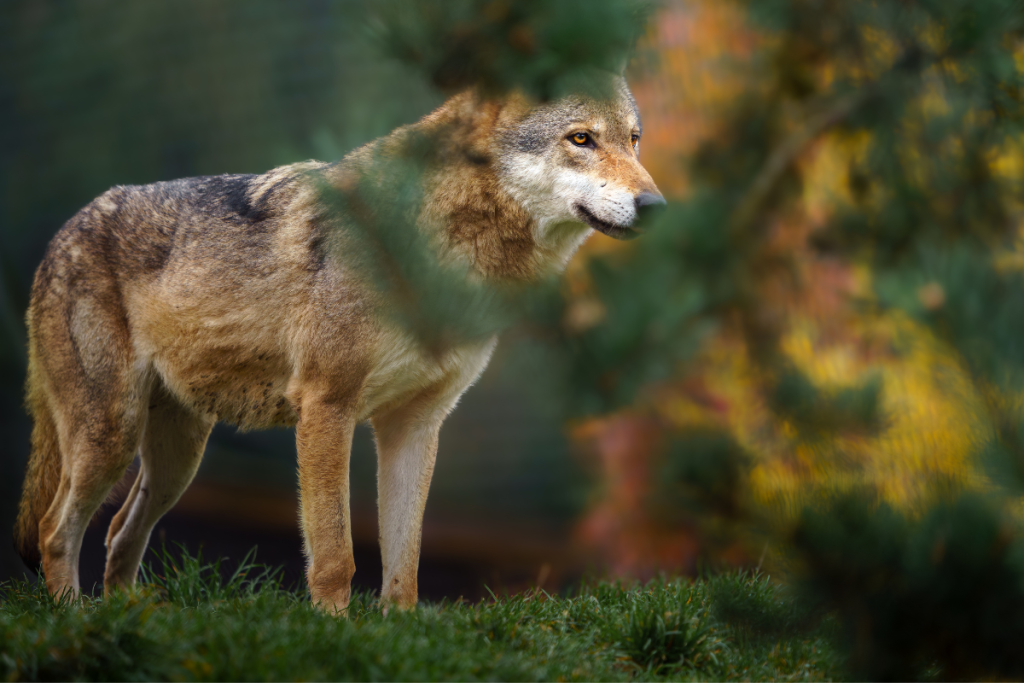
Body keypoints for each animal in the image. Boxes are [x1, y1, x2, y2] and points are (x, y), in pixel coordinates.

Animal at [13, 75, 663, 613]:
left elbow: (405, 565)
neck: (442, 250)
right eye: (580, 139)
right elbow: (335, 555)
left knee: (118, 530)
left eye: (634, 140)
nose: (655, 206)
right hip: (110, 436)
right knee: (53, 530)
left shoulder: (414, 425)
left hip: (176, 461)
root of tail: (60, 235)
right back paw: (74, 620)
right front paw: (333, 631)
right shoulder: (327, 408)